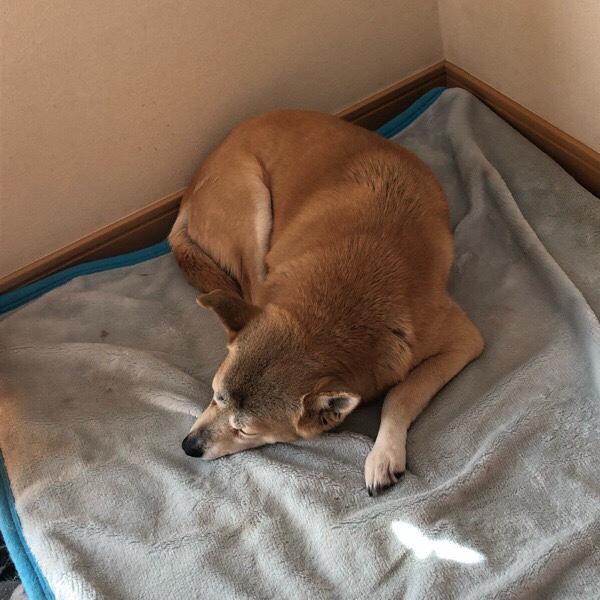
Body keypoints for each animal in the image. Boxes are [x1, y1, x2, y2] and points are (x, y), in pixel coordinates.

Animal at [169, 110, 483, 496]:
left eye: (245, 430)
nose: (189, 446)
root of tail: (189, 192)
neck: (333, 309)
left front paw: (384, 452)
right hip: (251, 201)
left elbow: (401, 394)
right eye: (215, 396)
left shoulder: (462, 341)